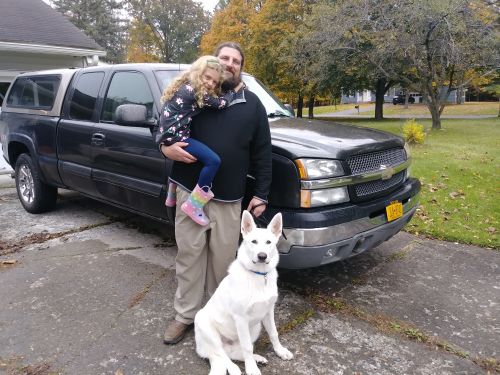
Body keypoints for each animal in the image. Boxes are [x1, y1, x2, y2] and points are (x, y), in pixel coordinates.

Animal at [192, 212, 292, 375]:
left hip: (256, 327)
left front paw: (280, 351)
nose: (262, 256)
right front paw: (251, 368)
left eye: (269, 242)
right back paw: (234, 368)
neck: (259, 275)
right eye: (254, 241)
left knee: (232, 353)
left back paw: (257, 358)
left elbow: (274, 334)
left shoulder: (268, 312)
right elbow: (247, 347)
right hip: (205, 324)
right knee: (221, 353)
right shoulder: (241, 319)